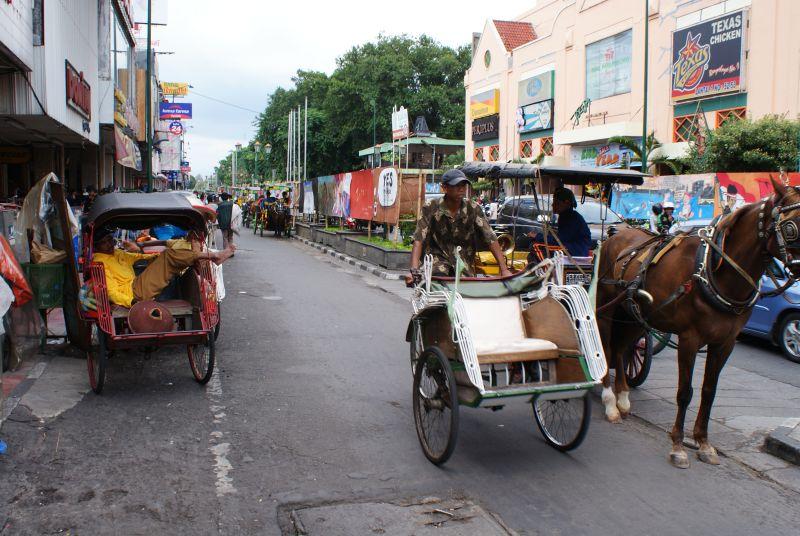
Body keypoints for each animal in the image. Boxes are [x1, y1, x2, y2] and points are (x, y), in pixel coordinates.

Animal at [596, 177, 800, 468]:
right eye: (791, 225)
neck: (713, 270)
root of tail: (615, 235)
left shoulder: (725, 343)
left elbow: (709, 391)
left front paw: (703, 443)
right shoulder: (689, 339)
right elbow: (685, 392)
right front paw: (678, 445)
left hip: (633, 314)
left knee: (621, 348)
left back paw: (623, 397)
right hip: (605, 308)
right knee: (603, 346)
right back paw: (610, 401)